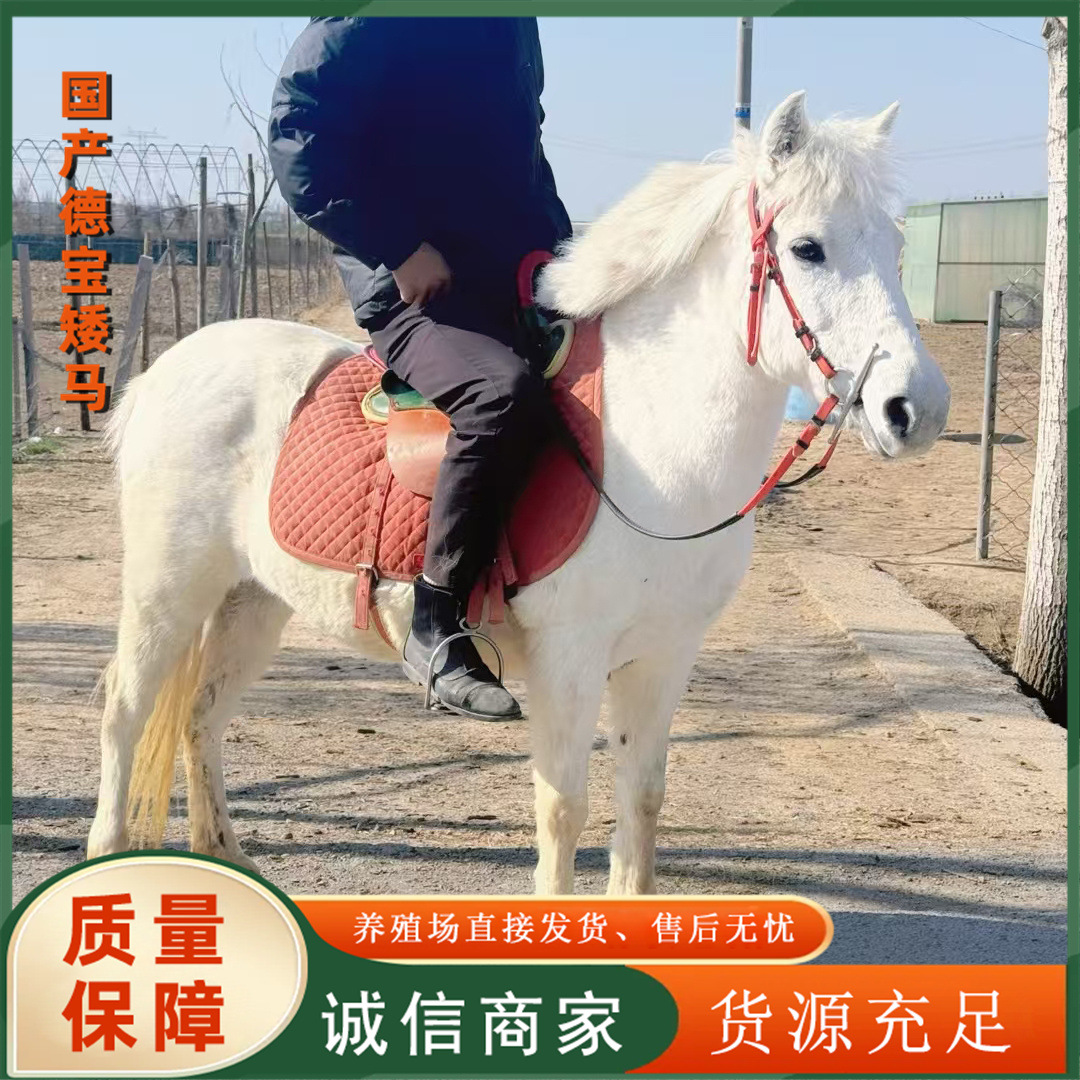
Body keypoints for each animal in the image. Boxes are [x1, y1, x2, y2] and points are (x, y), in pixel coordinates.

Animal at [86, 92, 950, 894]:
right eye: (807, 248)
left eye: (896, 242)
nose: (918, 409)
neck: (653, 445)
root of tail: (162, 372)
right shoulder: (569, 661)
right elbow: (563, 809)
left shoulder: (664, 658)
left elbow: (643, 801)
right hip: (167, 593)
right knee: (126, 707)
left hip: (252, 601)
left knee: (201, 716)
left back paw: (225, 858)